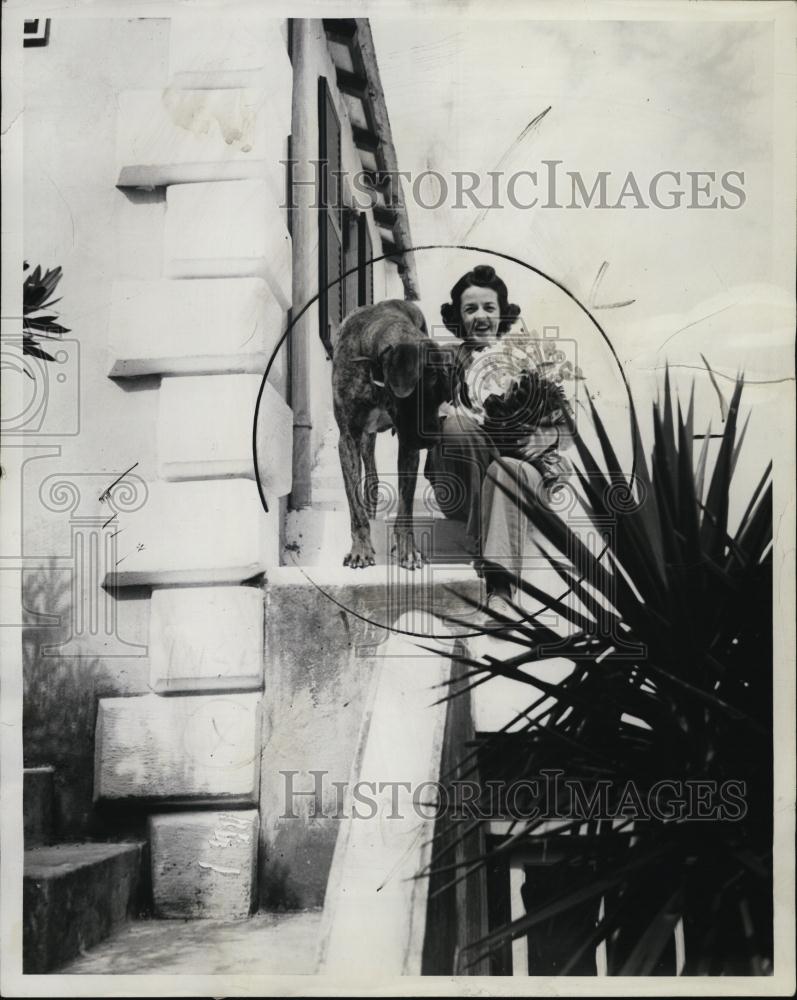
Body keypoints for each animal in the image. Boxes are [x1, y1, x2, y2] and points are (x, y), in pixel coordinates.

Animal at [330, 298, 454, 572]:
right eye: (422, 396)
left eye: (442, 398)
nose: (434, 440)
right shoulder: (348, 439)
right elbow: (355, 506)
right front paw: (360, 549)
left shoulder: (408, 448)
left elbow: (405, 507)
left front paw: (408, 550)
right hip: (365, 438)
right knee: (368, 474)